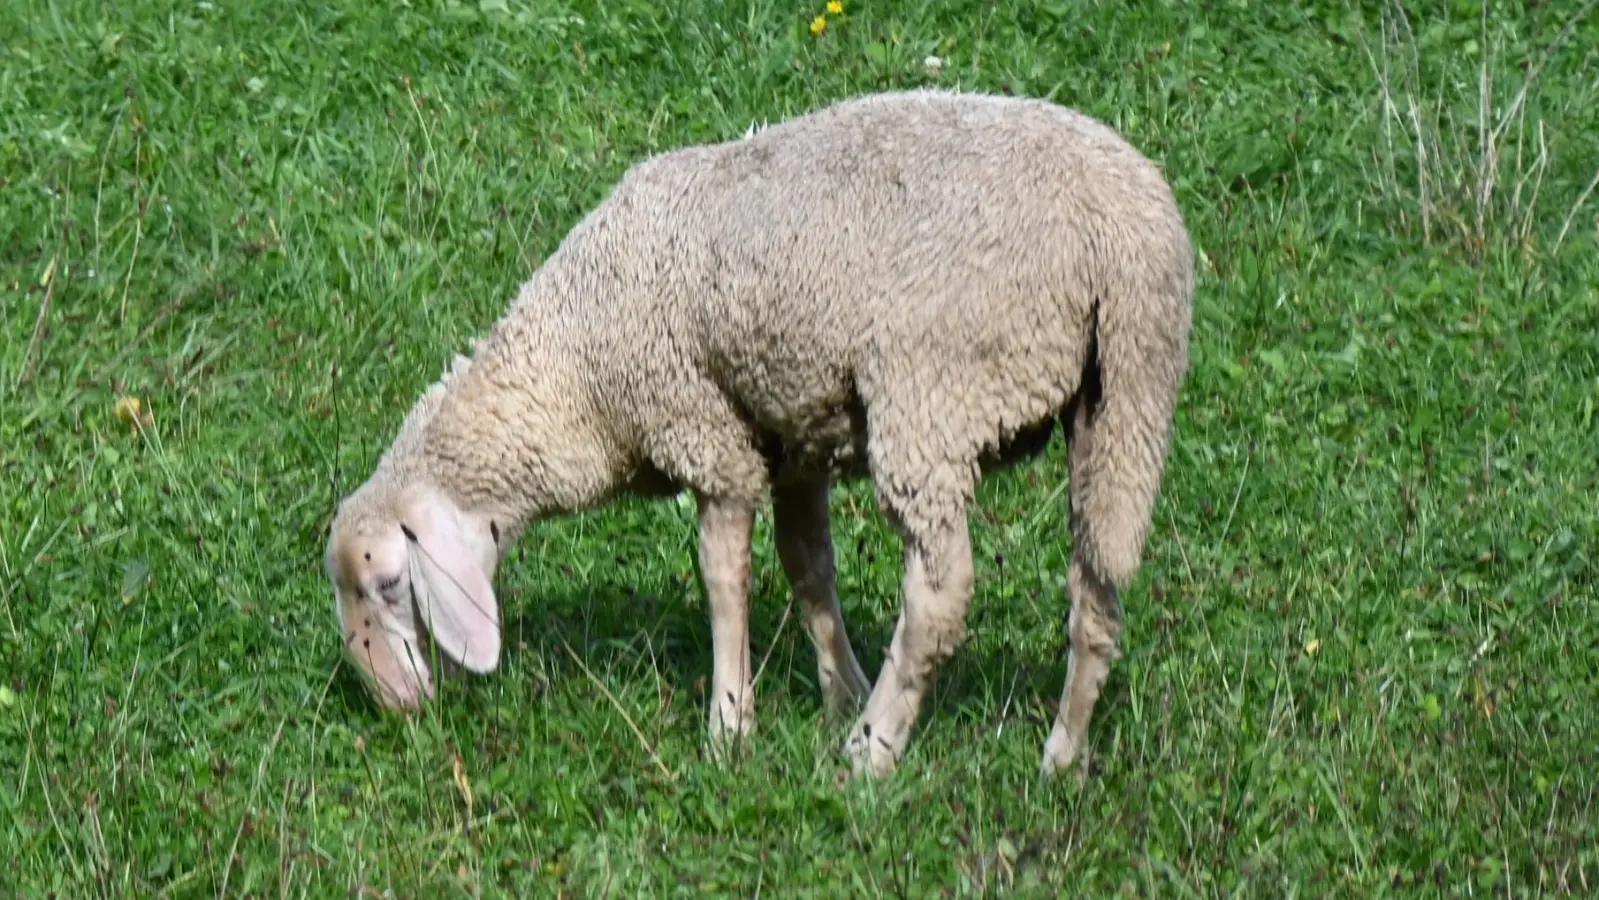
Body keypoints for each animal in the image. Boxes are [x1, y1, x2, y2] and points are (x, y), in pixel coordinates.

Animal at [324, 87, 1196, 786]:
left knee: (941, 594)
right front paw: (837, 689)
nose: (397, 705)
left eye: (389, 583)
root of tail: (1126, 238)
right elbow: (808, 568)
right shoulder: (793, 436)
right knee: (1097, 581)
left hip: (932, 394)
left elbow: (722, 577)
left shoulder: (703, 432)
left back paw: (874, 752)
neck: (574, 375)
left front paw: (730, 726)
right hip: (1124, 404)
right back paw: (1060, 759)